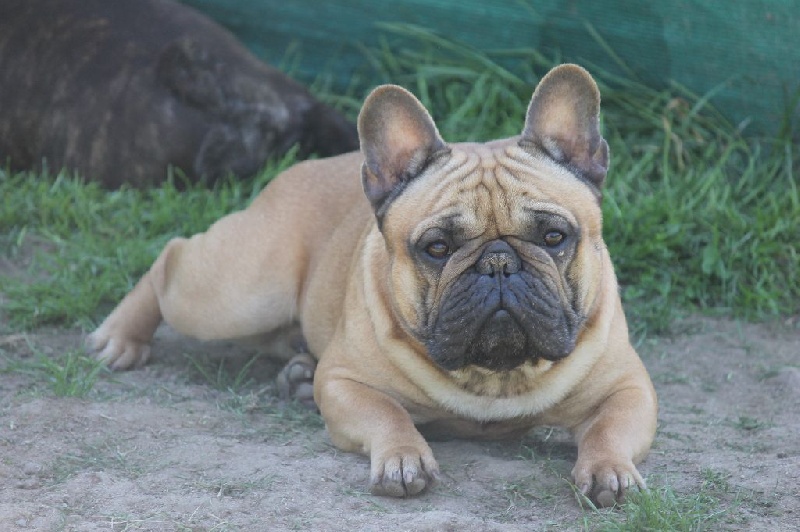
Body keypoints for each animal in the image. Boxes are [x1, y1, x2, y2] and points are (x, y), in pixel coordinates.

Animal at [90, 64, 660, 504]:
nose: (498, 263)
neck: (494, 377)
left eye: (554, 236)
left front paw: (609, 469)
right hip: (239, 293)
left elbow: (609, 427)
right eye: (436, 248)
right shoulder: (345, 383)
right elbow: (387, 413)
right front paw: (404, 458)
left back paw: (298, 371)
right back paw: (120, 338)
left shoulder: (630, 389)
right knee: (171, 257)